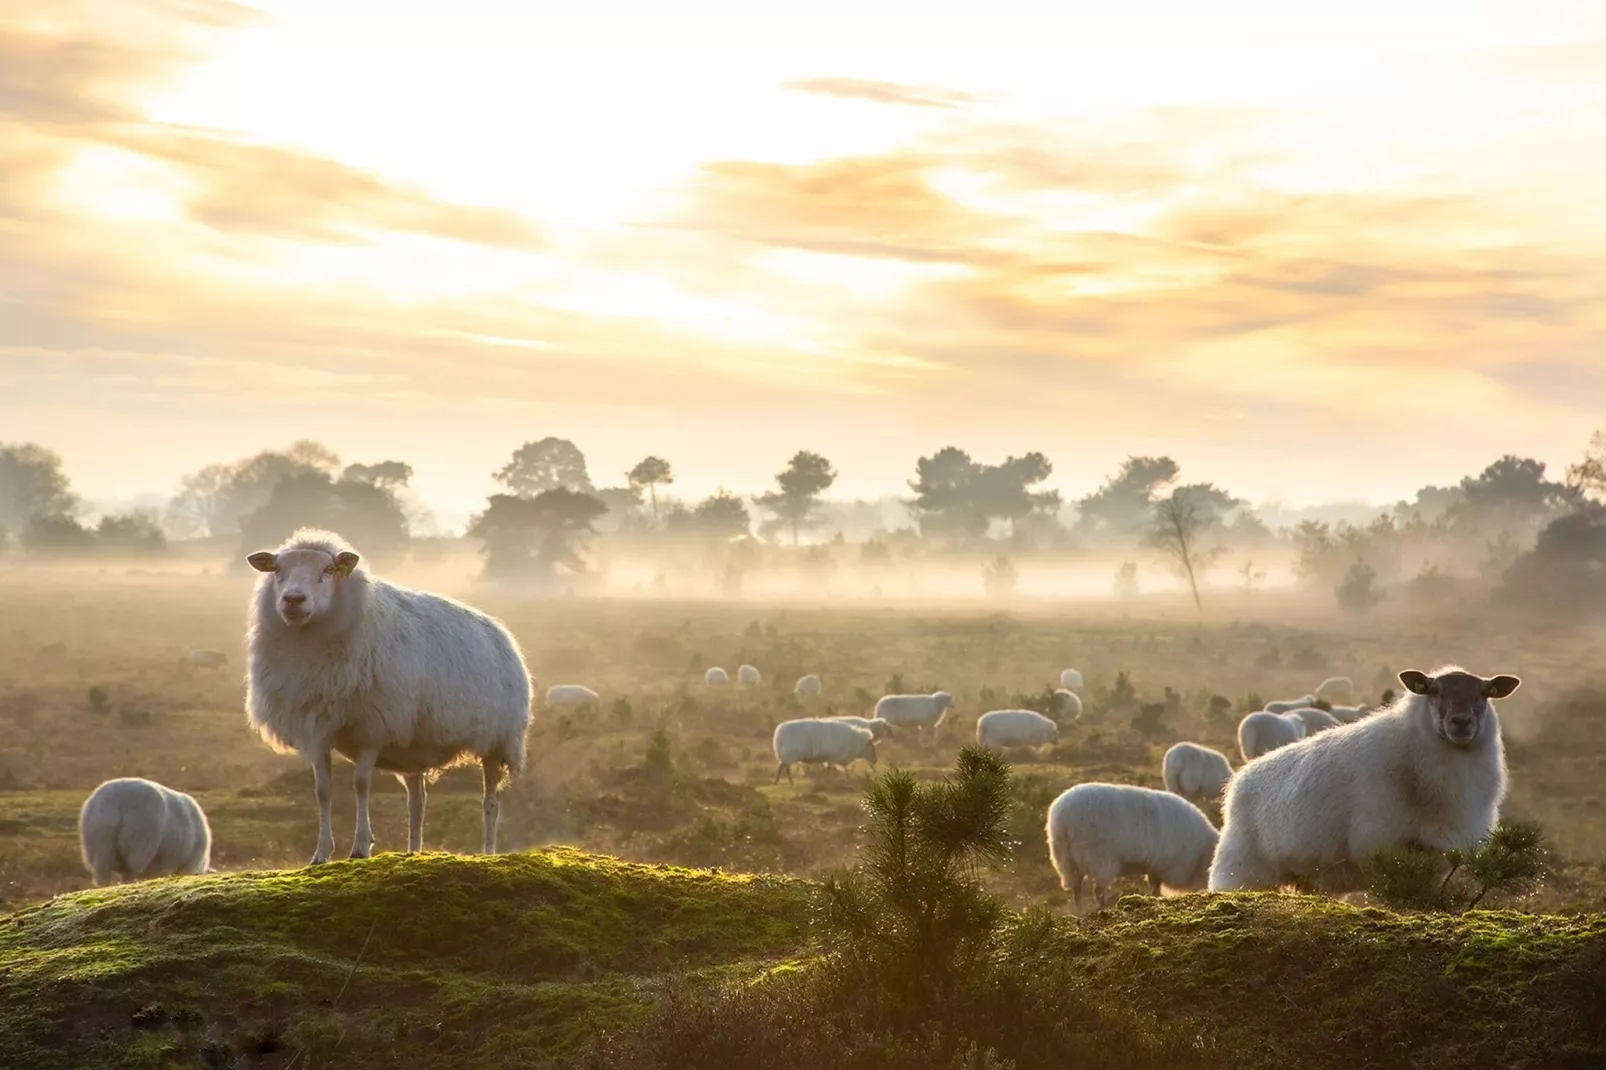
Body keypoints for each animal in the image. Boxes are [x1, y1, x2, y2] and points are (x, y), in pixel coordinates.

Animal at [78, 774, 211, 880]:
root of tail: (118, 798)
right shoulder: (172, 861)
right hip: (139, 843)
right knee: (131, 870)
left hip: (100, 843)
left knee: (103, 873)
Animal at [244, 530, 533, 861]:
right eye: (277, 570)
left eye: (328, 570)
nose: (293, 600)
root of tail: (501, 633)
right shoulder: (316, 729)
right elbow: (322, 790)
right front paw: (321, 853)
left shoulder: (373, 727)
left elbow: (361, 784)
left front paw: (360, 846)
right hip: (415, 746)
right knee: (417, 801)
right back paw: (413, 851)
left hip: (499, 740)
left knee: (490, 801)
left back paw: (488, 851)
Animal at [1040, 774, 1214, 906]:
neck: (1201, 852)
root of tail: (1063, 818)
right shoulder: (1167, 864)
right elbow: (1156, 886)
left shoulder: (1154, 865)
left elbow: (1154, 887)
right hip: (1098, 858)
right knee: (1098, 890)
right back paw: (1103, 908)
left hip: (1065, 859)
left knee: (1076, 888)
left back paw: (1079, 911)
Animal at [1214, 661, 1516, 886]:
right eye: (1434, 691)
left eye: (1484, 693)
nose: (1461, 722)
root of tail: (1238, 780)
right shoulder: (1379, 844)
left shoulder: (1439, 851)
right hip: (1241, 867)